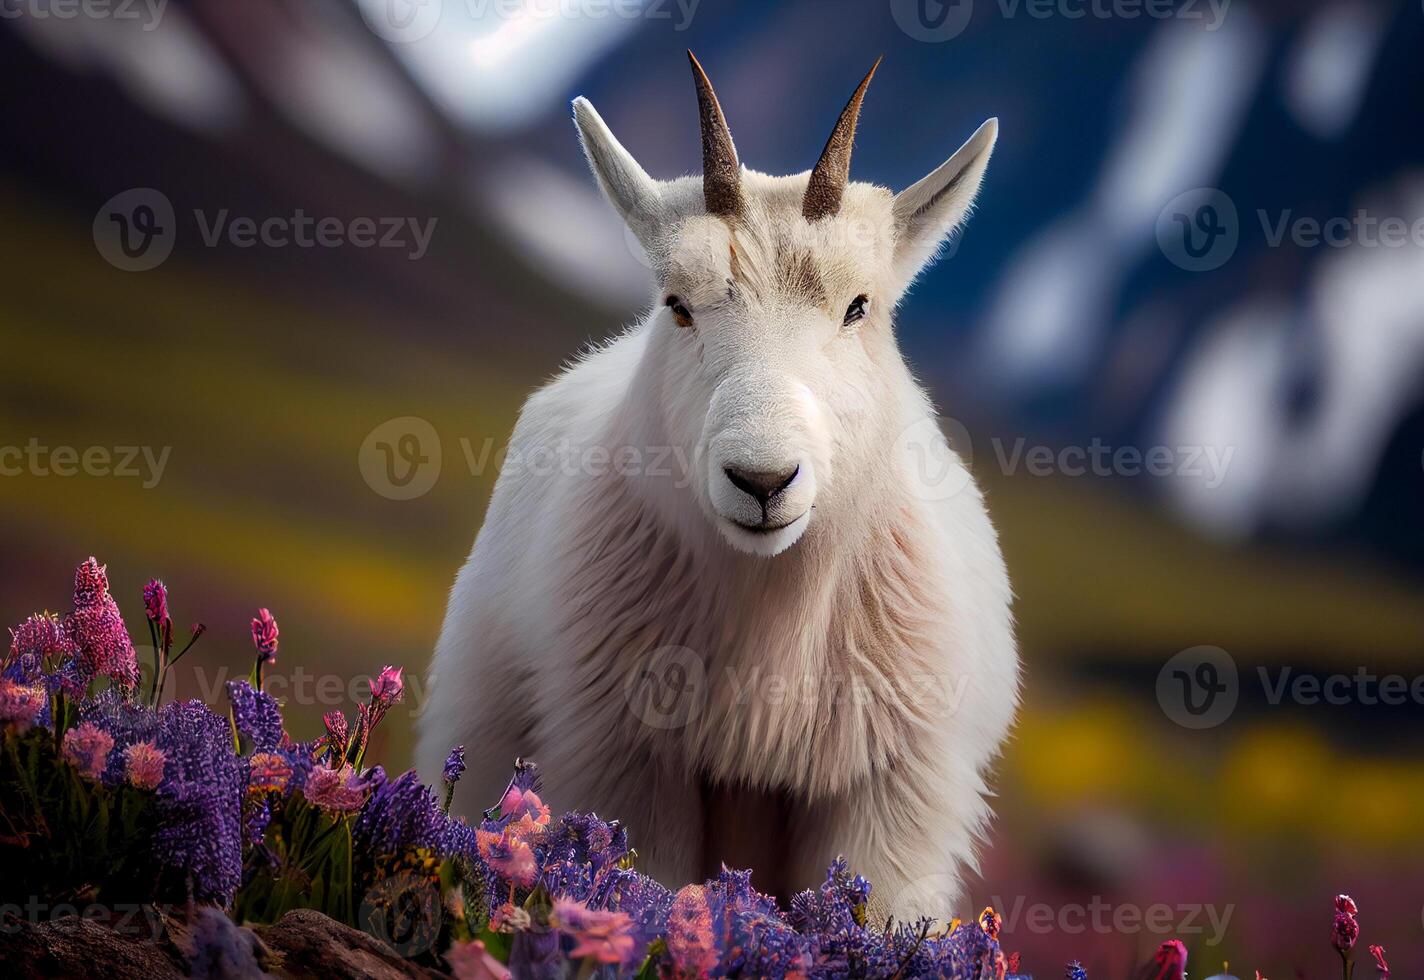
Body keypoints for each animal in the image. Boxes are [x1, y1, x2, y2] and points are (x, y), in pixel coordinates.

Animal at [415, 53, 1019, 917]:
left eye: (859, 307)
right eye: (678, 304)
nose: (763, 480)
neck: (771, 610)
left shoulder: (890, 799)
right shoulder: (628, 766)